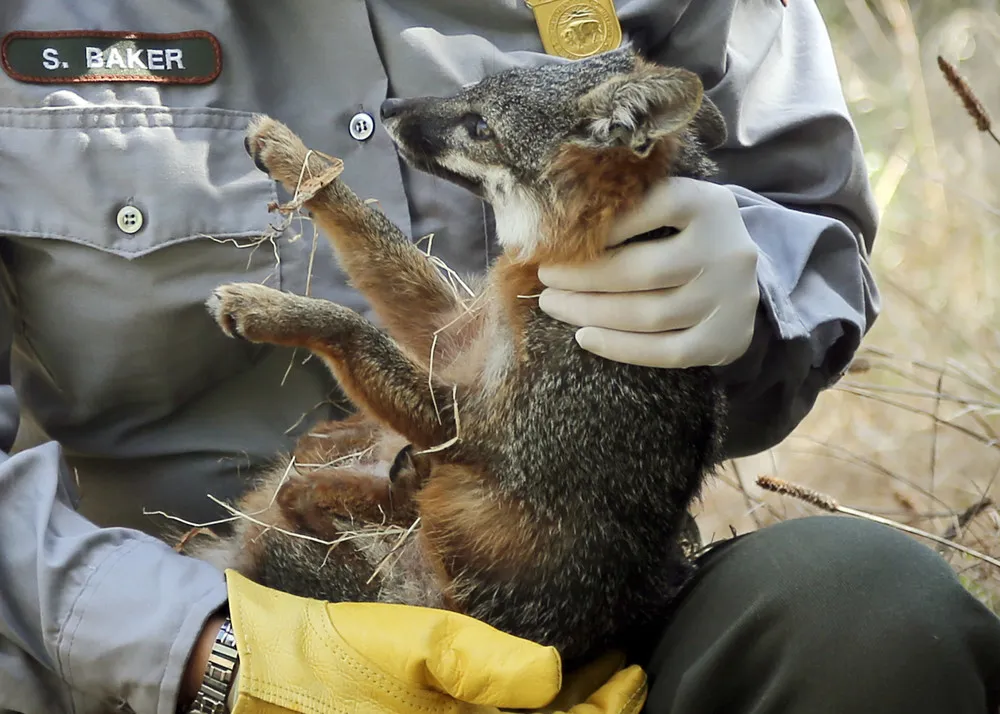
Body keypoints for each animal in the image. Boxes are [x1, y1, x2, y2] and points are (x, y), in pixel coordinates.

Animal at [192, 45, 730, 665]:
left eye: (480, 128)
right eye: (473, 86)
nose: (389, 106)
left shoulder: (470, 427)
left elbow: (353, 327)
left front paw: (269, 310)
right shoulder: (449, 338)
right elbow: (371, 233)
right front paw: (295, 155)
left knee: (316, 504)